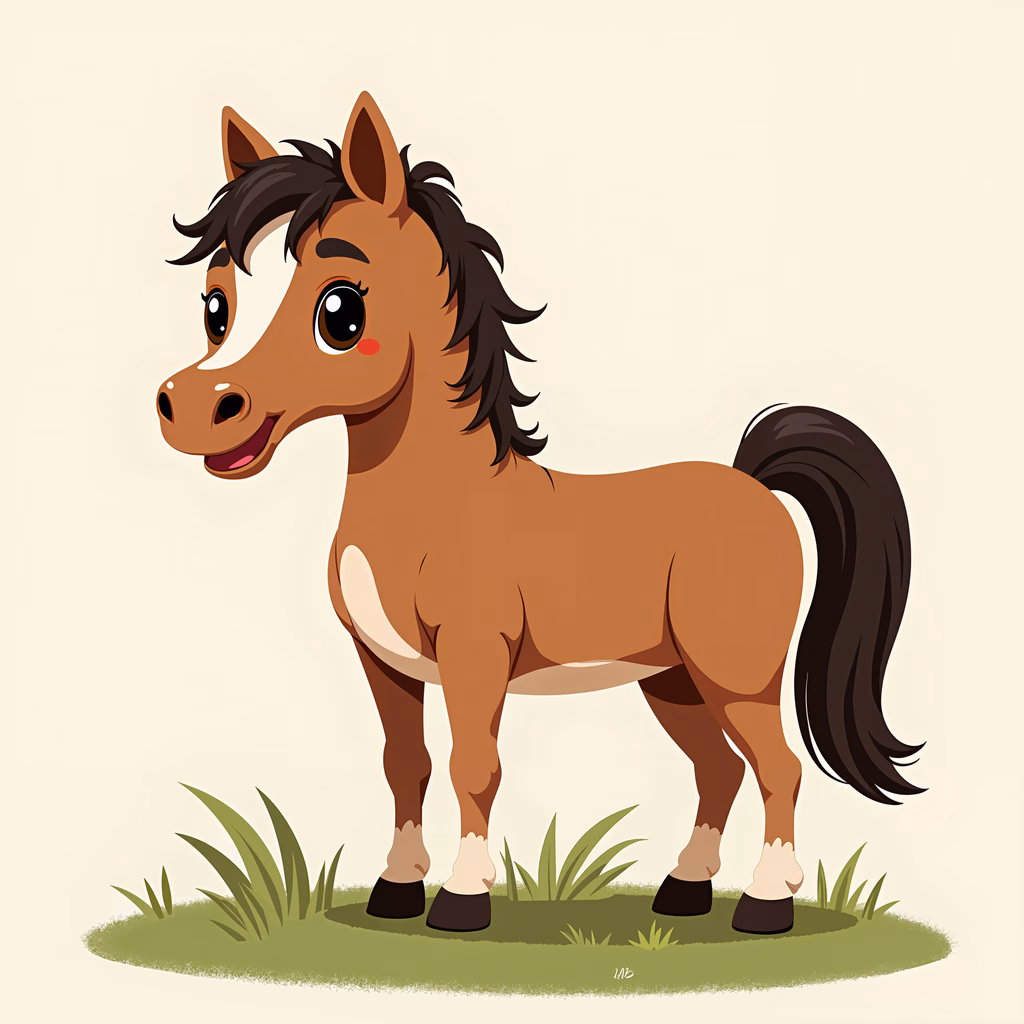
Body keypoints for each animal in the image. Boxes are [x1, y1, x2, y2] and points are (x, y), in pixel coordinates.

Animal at [156, 91, 923, 936]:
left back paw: (764, 904)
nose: (195, 409)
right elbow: (405, 764)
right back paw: (684, 891)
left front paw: (461, 900)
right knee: (719, 769)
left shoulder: (474, 654)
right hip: (672, 680)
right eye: (215, 307)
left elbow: (473, 767)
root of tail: (752, 484)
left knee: (777, 768)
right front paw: (396, 890)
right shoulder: (382, 660)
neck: (434, 508)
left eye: (342, 312)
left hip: (735, 676)